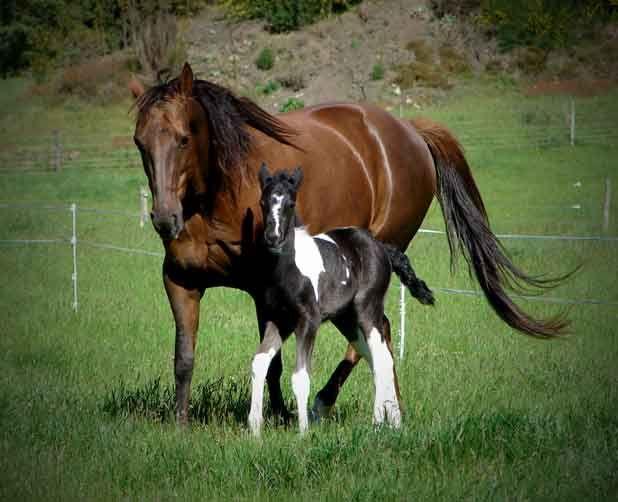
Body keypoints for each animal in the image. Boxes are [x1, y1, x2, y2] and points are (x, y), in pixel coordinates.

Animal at [247, 165, 434, 436]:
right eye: (263, 202)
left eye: (291, 203)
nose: (273, 237)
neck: (288, 269)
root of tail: (381, 247)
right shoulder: (278, 319)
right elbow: (259, 362)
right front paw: (254, 429)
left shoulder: (308, 321)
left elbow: (300, 376)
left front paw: (303, 433)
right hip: (346, 318)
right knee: (372, 356)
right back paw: (394, 420)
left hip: (367, 310)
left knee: (382, 357)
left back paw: (378, 422)